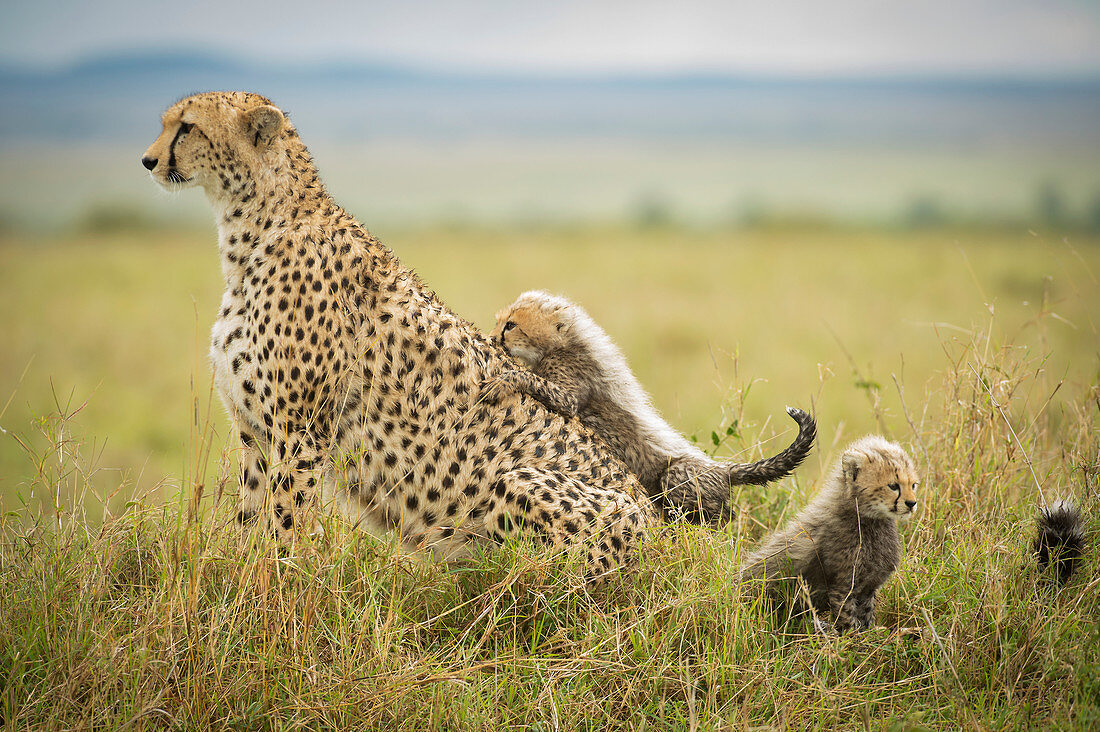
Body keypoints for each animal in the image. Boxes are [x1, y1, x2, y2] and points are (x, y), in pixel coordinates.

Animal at [144, 91, 660, 581]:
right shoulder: (254, 431)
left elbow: (286, 520)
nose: (148, 161)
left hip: (520, 486)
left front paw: (280, 581)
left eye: (187, 127)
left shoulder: (301, 429)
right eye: (169, 124)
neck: (252, 234)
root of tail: (661, 535)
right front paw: (246, 575)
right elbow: (251, 516)